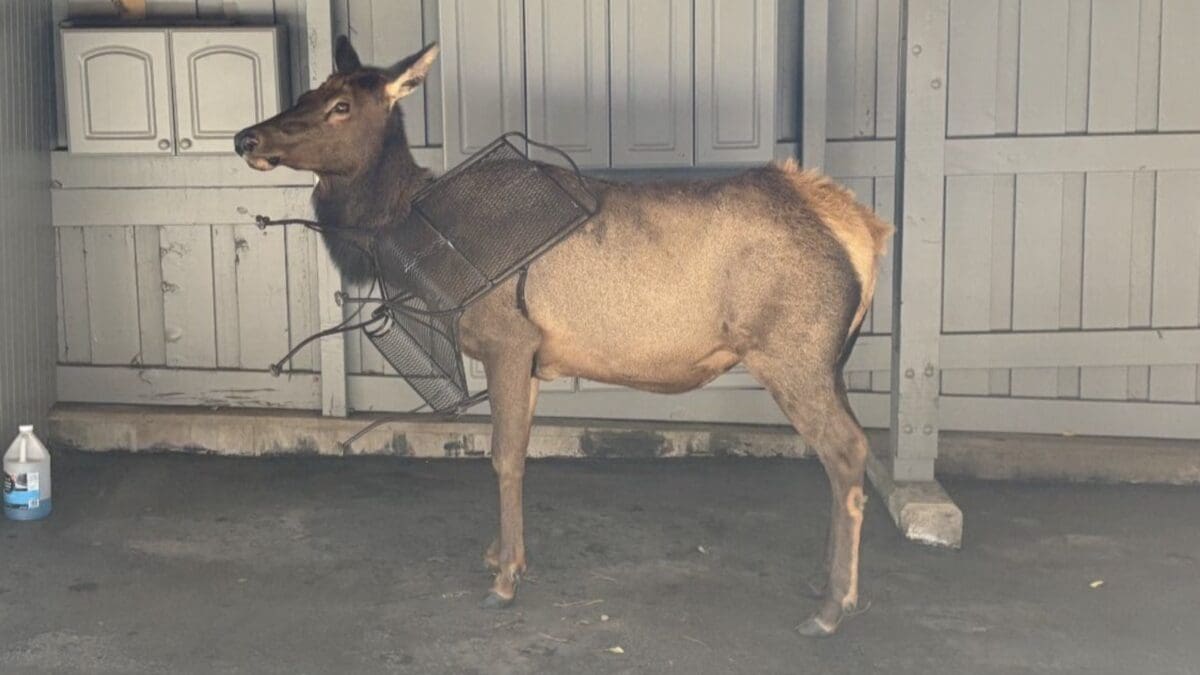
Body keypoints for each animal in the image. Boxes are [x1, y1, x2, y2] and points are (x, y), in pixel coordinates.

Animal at [234, 38, 893, 637]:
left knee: (845, 450)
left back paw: (832, 608)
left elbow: (501, 455)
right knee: (850, 450)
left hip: (792, 350)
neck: (413, 241)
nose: (247, 138)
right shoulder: (531, 356)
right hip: (830, 359)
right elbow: (519, 452)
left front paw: (504, 580)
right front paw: (505, 556)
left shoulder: (506, 338)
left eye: (341, 105)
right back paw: (826, 582)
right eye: (307, 91)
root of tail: (865, 230)